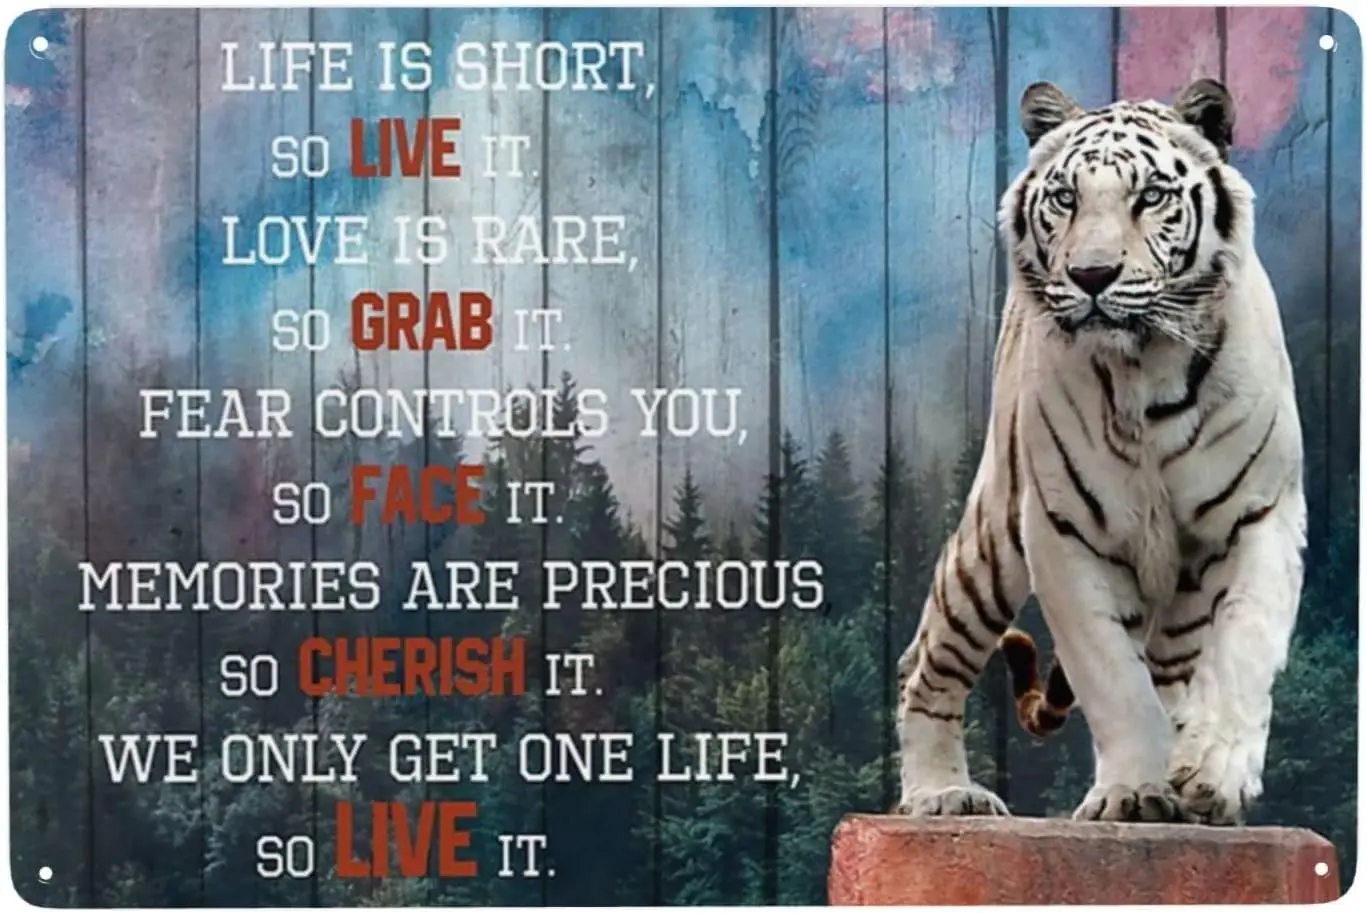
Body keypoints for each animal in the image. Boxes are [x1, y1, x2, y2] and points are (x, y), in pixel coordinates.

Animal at [893, 77, 1306, 825]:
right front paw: (1135, 790)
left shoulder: (1261, 515)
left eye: (1151, 196)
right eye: (1065, 197)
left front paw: (1212, 772)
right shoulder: (1062, 532)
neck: (1146, 372)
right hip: (991, 540)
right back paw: (942, 792)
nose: (1091, 275)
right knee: (927, 659)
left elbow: (1243, 645)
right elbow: (1113, 677)